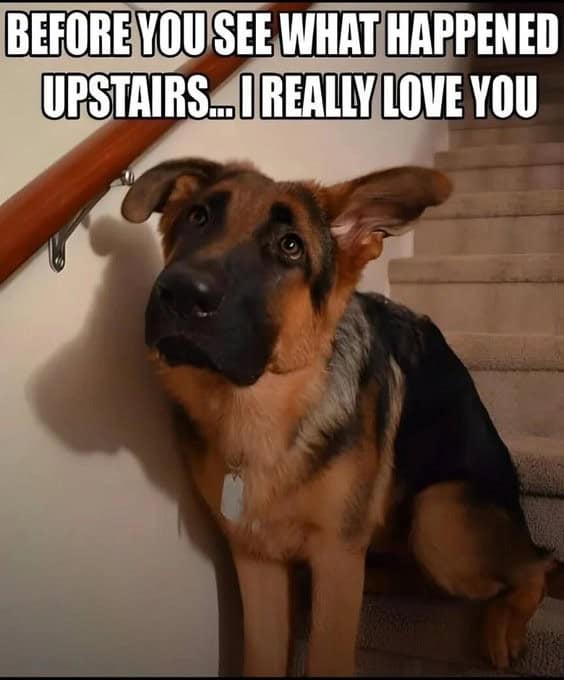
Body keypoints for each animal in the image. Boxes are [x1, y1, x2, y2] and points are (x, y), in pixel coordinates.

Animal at [121, 158, 554, 676]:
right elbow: (261, 657)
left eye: (290, 246)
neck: (261, 413)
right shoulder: (256, 559)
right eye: (197, 217)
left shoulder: (334, 558)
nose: (182, 293)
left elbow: (328, 656)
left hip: (439, 521)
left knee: (538, 563)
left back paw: (504, 622)